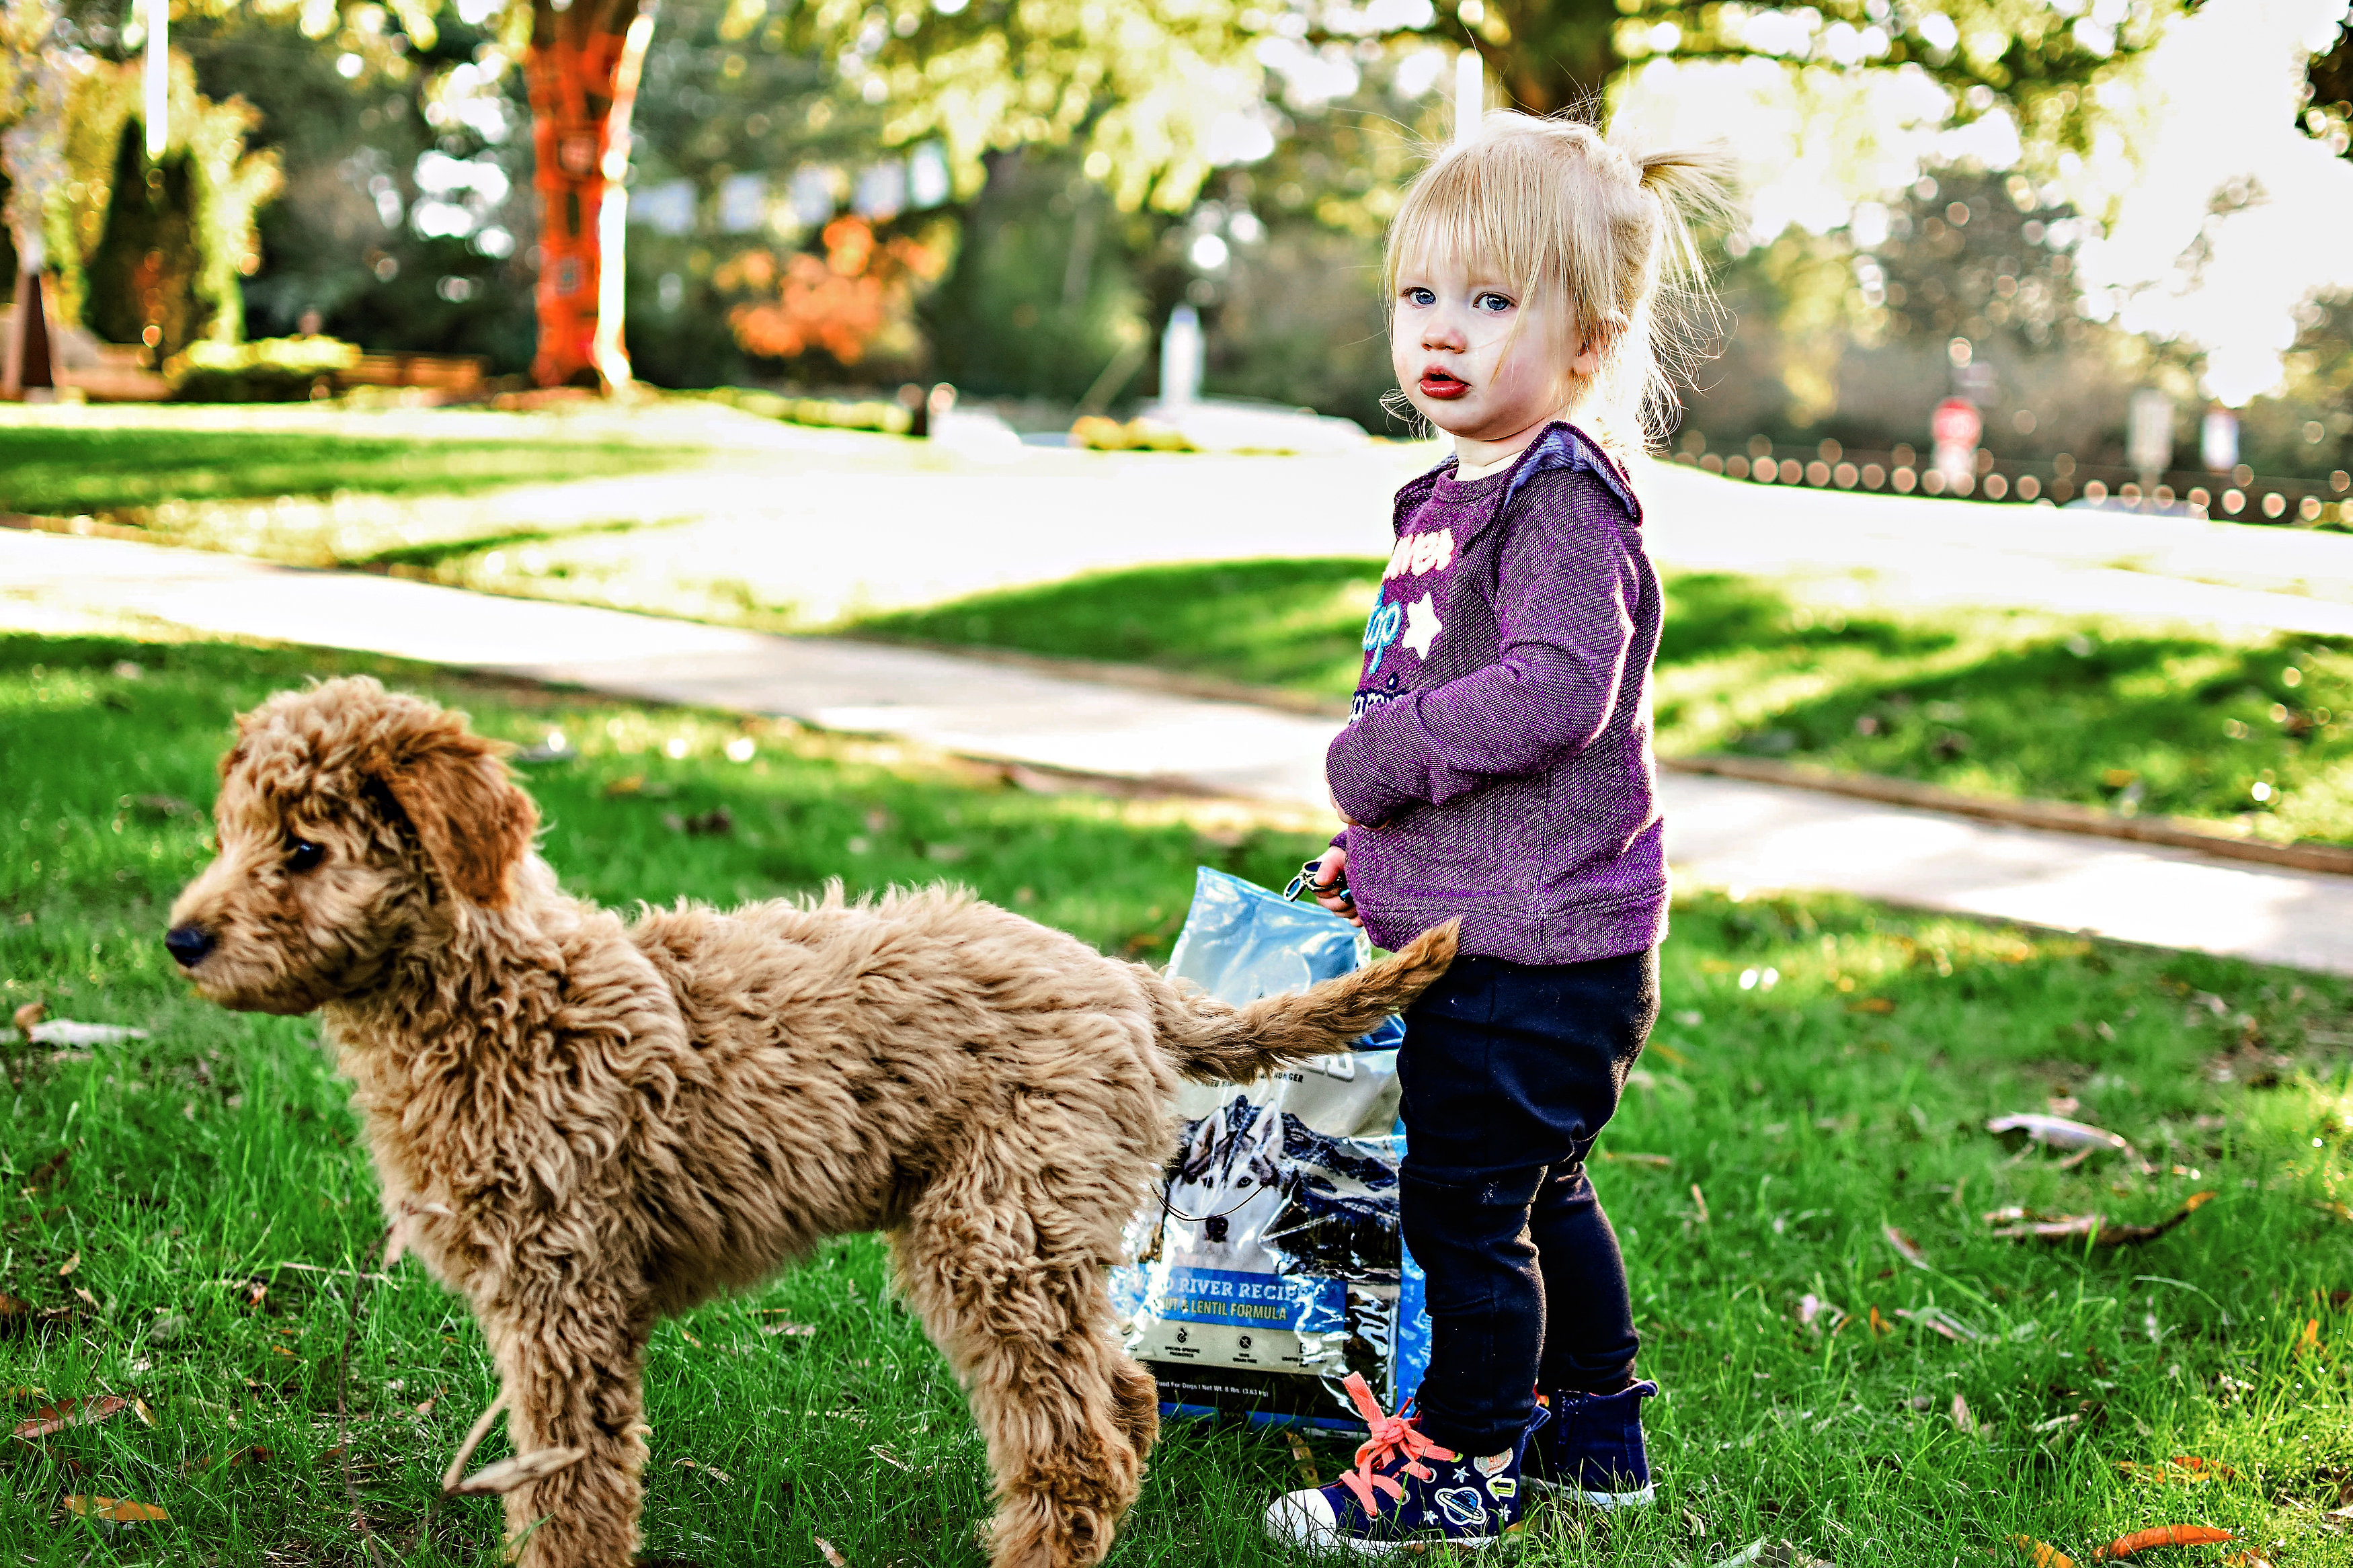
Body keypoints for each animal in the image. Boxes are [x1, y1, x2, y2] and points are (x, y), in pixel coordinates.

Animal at [165, 677, 1449, 1568]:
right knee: (1122, 1404)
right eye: (230, 833)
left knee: (1076, 1441)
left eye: (304, 848)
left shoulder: (566, 1297)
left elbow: (573, 1491)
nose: (179, 940)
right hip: (1034, 1240)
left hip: (996, 1234)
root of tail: (1125, 983)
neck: (499, 995)